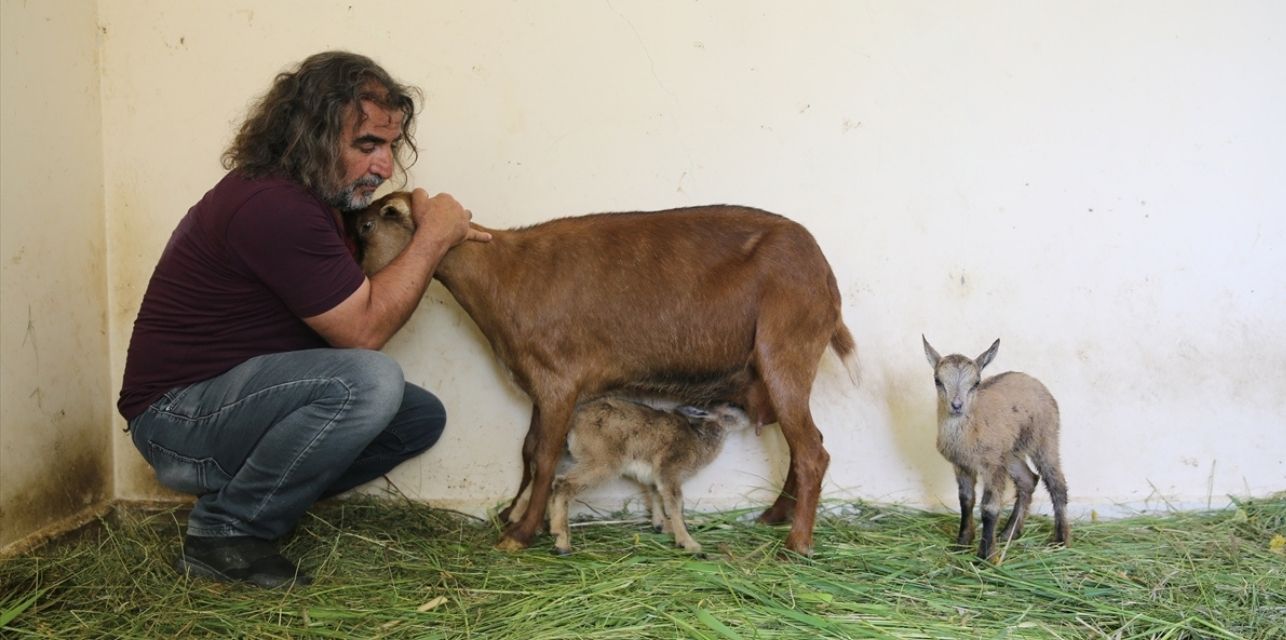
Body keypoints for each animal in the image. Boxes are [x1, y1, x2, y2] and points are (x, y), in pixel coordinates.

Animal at [354, 194, 853, 555]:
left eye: (368, 225)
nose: (357, 283)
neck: (504, 276)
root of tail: (825, 274)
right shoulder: (540, 384)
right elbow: (528, 450)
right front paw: (512, 515)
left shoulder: (559, 380)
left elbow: (547, 457)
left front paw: (521, 534)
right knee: (807, 447)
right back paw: (774, 517)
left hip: (786, 353)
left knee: (812, 452)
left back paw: (796, 544)